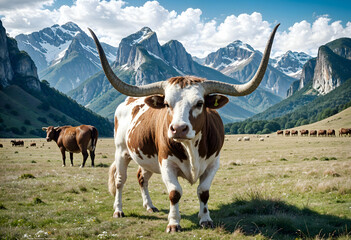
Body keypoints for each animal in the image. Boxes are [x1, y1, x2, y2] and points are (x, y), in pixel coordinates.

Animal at [89, 23, 280, 232]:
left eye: (199, 103)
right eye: (167, 104)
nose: (178, 129)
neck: (191, 148)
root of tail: (129, 101)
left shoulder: (213, 163)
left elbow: (203, 191)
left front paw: (205, 219)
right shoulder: (166, 163)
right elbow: (174, 193)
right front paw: (174, 222)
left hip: (146, 157)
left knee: (142, 177)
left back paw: (149, 205)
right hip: (121, 151)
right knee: (120, 181)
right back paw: (118, 210)